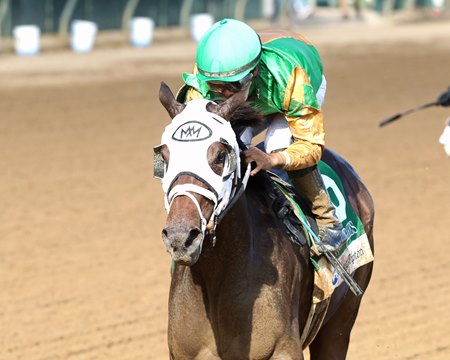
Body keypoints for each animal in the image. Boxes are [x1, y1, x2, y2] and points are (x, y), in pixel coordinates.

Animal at [156, 82, 374, 360]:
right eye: (164, 155)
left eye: (220, 156)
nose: (181, 237)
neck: (218, 278)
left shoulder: (281, 350)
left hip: (339, 325)